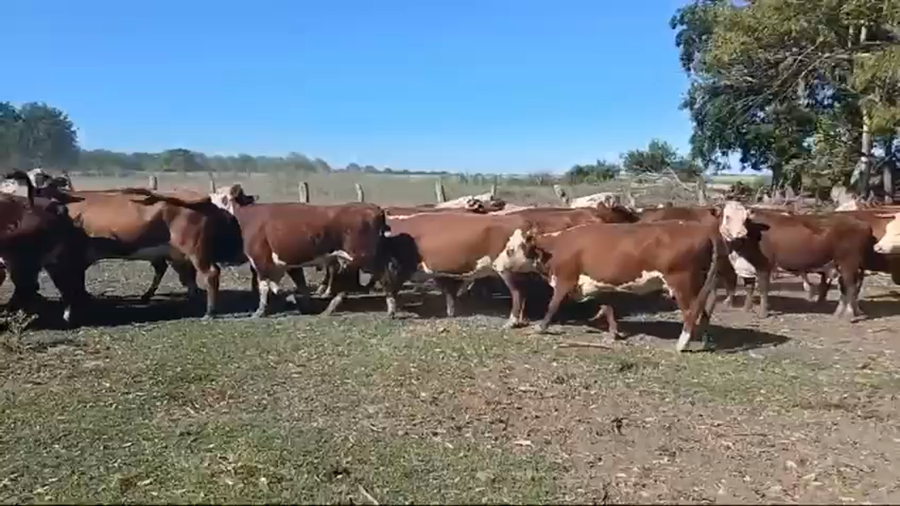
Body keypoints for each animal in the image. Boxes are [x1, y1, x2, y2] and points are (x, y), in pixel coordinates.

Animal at [208, 185, 393, 318]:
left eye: (220, 193)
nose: (208, 197)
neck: (248, 215)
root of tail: (373, 208)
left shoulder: (260, 260)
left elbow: (264, 286)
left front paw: (260, 311)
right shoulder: (287, 261)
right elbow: (294, 284)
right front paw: (299, 301)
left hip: (363, 257)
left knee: (381, 277)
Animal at [491, 220, 721, 352]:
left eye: (510, 249)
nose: (494, 264)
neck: (557, 247)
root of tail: (703, 230)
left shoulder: (565, 280)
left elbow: (553, 305)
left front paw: (540, 327)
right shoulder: (598, 285)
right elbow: (608, 307)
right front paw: (613, 333)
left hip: (681, 283)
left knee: (691, 312)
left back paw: (682, 344)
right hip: (698, 284)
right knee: (704, 311)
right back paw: (706, 342)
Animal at [719, 201, 872, 319]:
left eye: (744, 219)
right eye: (727, 217)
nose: (741, 233)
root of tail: (863, 224)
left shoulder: (764, 265)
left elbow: (763, 289)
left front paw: (762, 314)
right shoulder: (747, 268)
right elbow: (749, 288)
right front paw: (746, 309)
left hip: (849, 262)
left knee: (851, 286)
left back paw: (848, 315)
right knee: (847, 286)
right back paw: (842, 313)